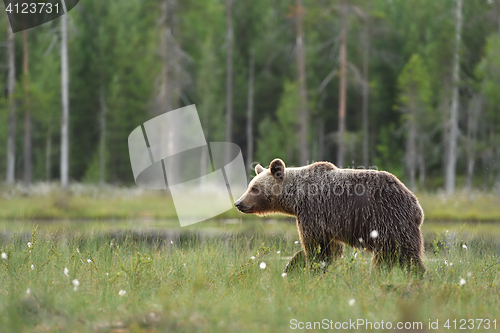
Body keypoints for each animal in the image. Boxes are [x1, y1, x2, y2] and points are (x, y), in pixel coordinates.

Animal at [235, 158, 426, 274]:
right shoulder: (327, 221)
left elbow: (314, 245)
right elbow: (331, 248)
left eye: (254, 188)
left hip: (389, 220)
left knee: (403, 255)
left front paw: (310, 266)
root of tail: (416, 205)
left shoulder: (312, 211)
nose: (238, 203)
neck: (296, 197)